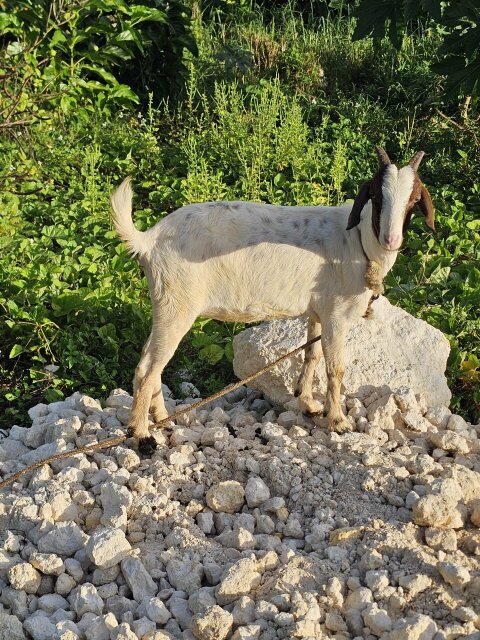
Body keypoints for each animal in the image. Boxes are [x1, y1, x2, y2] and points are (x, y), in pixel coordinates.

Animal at [111, 147, 435, 455]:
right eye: (376, 196)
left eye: (413, 200)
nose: (391, 240)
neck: (358, 242)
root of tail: (148, 240)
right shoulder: (336, 315)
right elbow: (336, 368)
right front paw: (338, 420)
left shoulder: (318, 311)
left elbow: (312, 355)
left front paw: (307, 402)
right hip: (177, 303)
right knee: (148, 367)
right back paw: (142, 435)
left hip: (166, 303)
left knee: (151, 360)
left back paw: (162, 418)